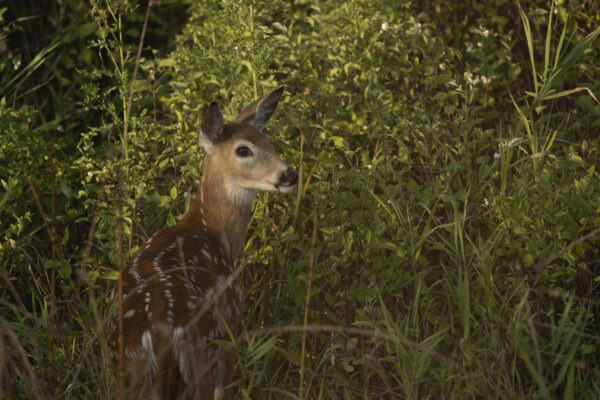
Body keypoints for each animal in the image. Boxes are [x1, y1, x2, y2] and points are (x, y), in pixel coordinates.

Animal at [108, 86, 298, 398]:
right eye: (243, 149)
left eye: (268, 142)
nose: (289, 174)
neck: (211, 232)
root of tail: (161, 337)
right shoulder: (232, 322)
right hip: (206, 356)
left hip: (126, 376)